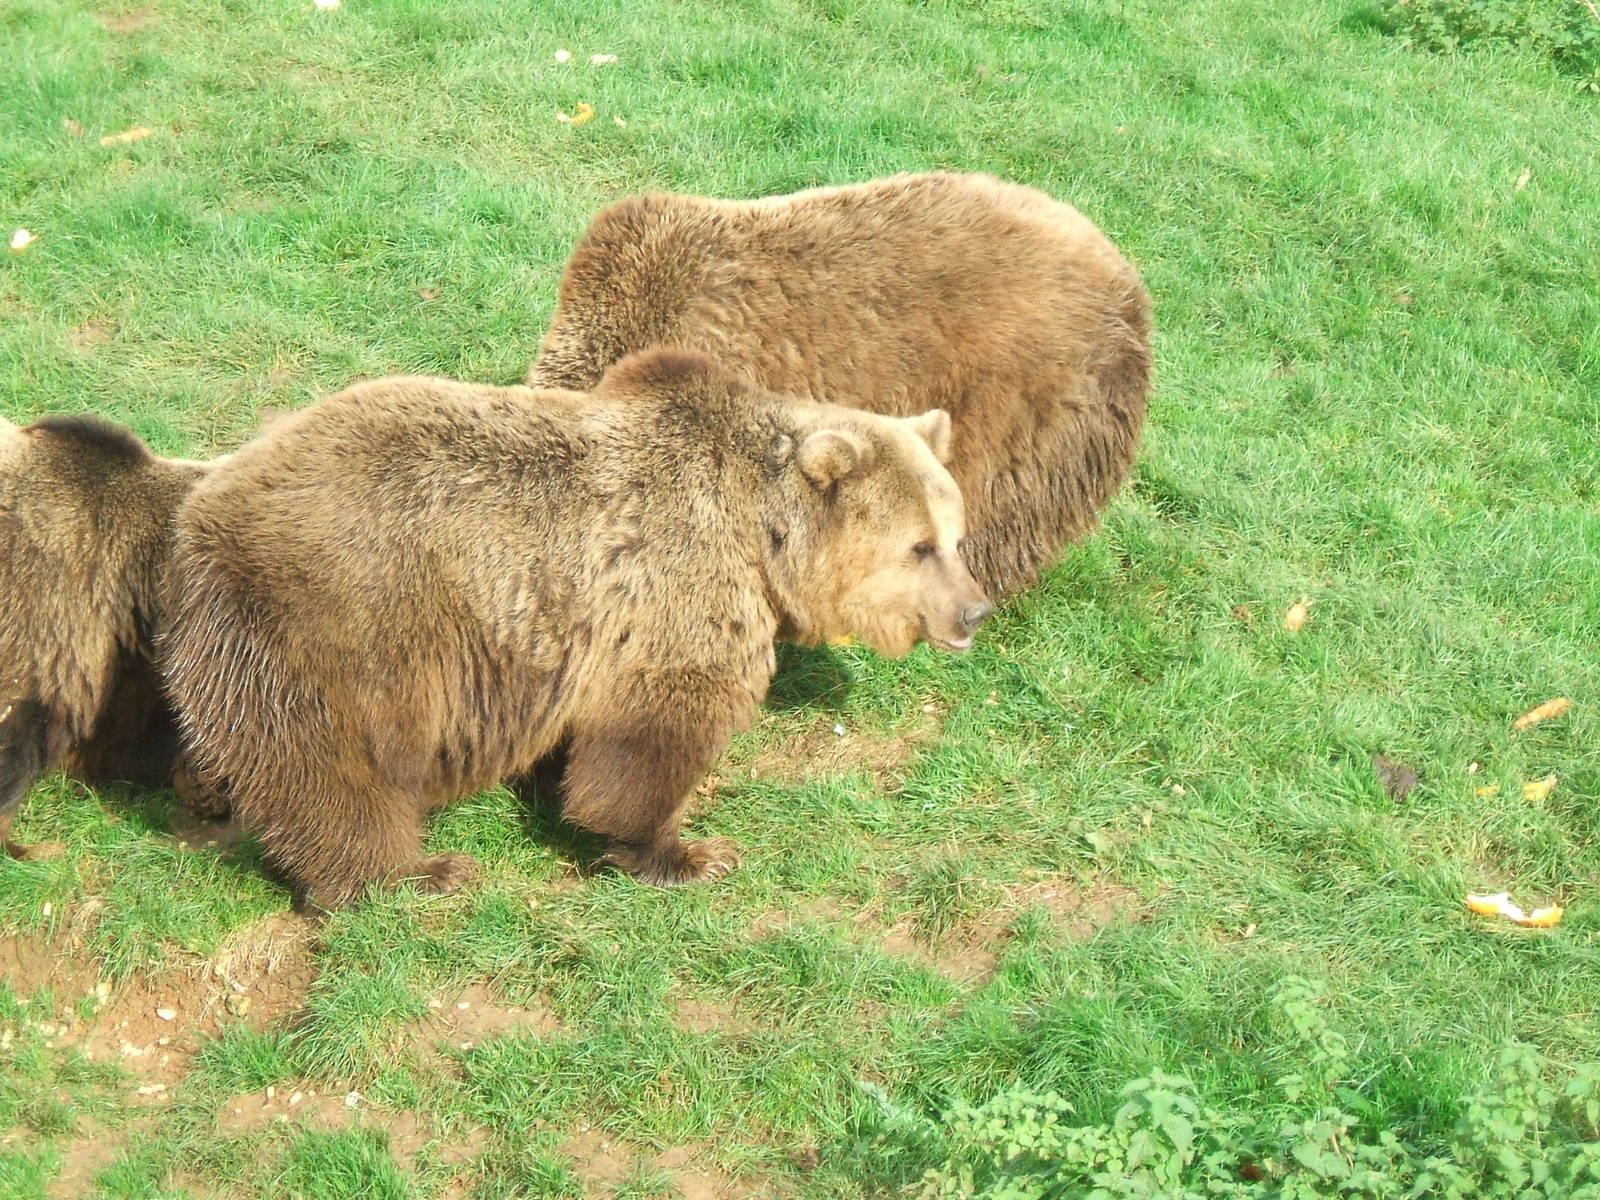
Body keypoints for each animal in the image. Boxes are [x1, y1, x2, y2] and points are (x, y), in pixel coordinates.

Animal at [158, 349, 992, 909]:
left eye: (955, 534)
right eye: (919, 546)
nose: (974, 610)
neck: (760, 535)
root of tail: (195, 523)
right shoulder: (672, 587)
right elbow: (653, 730)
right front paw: (688, 850)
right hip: (344, 624)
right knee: (335, 771)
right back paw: (416, 872)